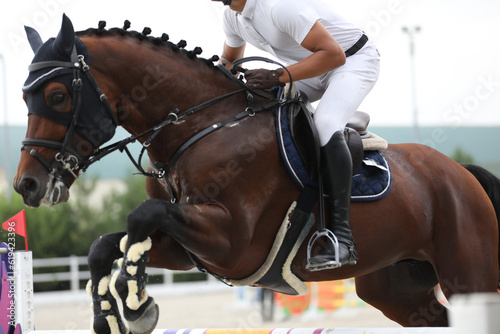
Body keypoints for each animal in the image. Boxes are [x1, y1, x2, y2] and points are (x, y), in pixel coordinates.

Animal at [13, 14, 498, 332]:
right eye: (25, 99)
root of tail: (461, 173)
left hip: (468, 274)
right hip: (397, 288)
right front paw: (111, 313)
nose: (27, 186)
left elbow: (141, 217)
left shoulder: (231, 242)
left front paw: (134, 303)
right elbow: (105, 245)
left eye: (57, 96)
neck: (201, 125)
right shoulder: (189, 250)